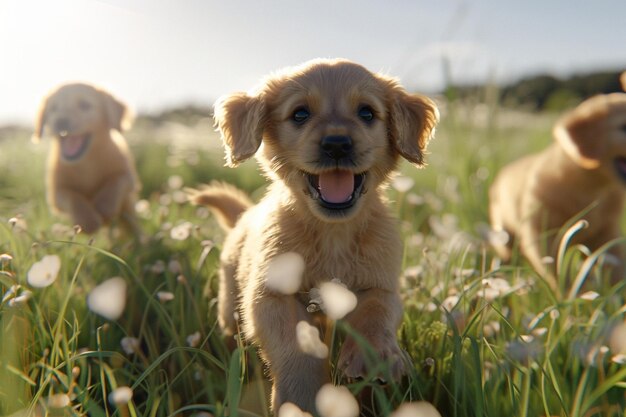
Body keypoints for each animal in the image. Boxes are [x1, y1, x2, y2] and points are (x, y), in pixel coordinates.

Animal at [33, 83, 140, 234]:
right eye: (53, 109)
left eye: (84, 105)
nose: (60, 122)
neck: (85, 162)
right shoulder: (55, 193)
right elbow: (73, 196)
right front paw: (88, 221)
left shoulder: (130, 177)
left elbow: (116, 181)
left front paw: (103, 206)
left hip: (129, 209)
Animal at [191, 59, 438, 412]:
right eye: (300, 114)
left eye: (367, 113)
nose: (337, 144)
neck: (332, 233)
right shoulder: (270, 296)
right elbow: (297, 346)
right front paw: (302, 400)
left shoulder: (383, 284)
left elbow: (376, 312)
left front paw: (373, 356)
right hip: (229, 307)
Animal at [488, 93, 624, 290]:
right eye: (624, 126)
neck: (590, 190)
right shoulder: (543, 236)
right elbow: (562, 276)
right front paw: (575, 294)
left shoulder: (608, 233)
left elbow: (616, 271)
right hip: (504, 235)